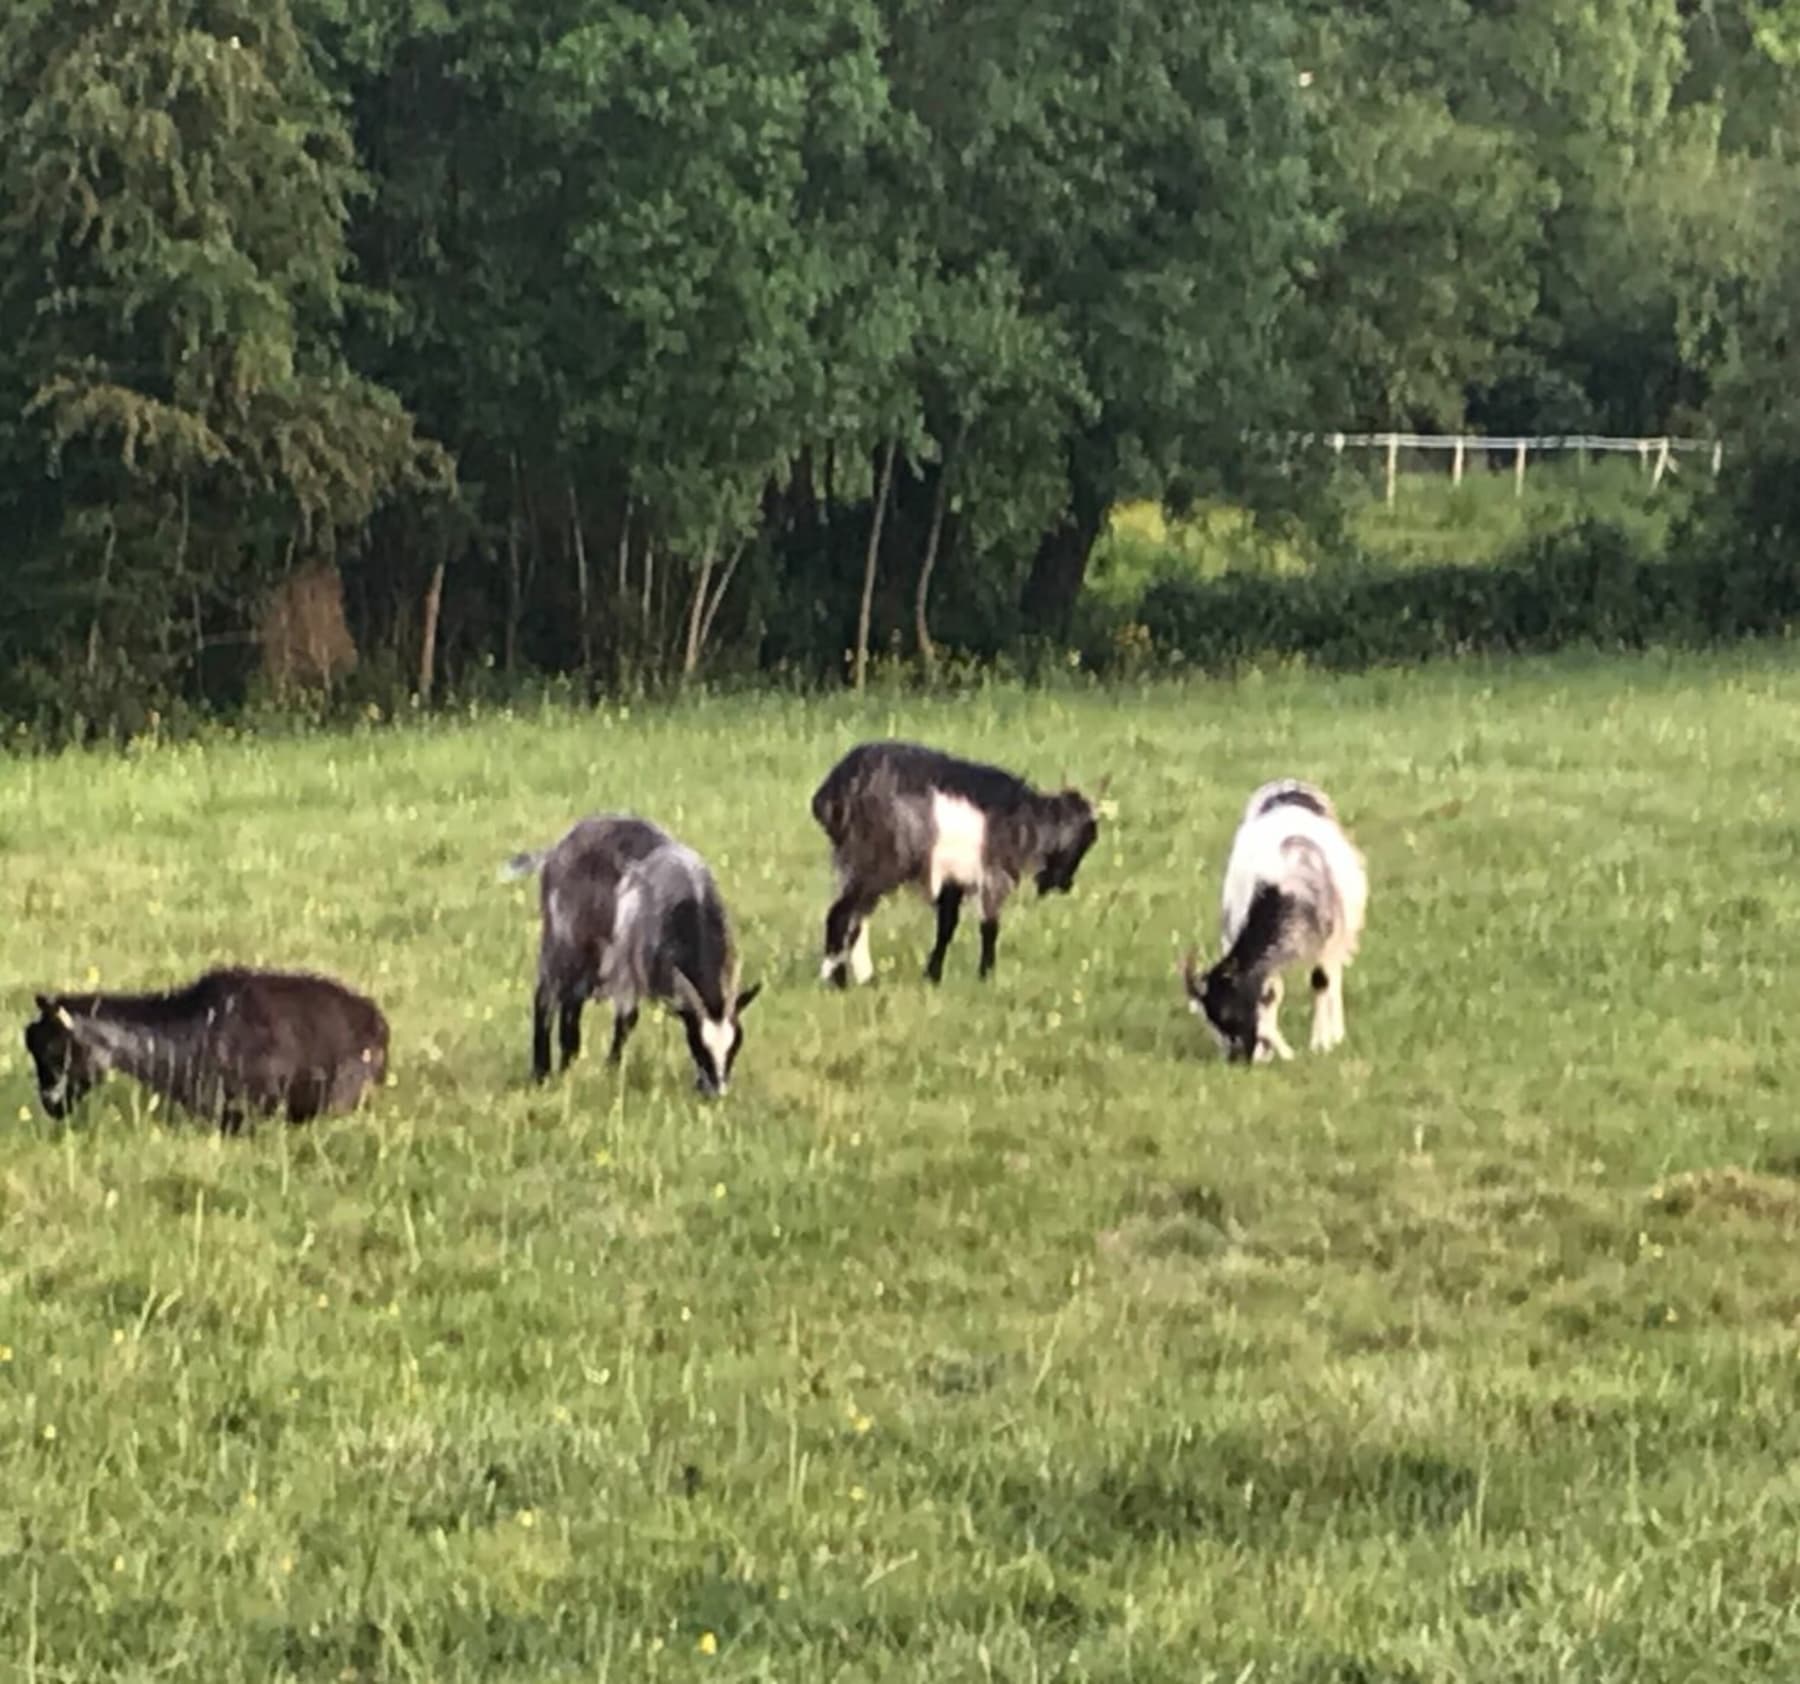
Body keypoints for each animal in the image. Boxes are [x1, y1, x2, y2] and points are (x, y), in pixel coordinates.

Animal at [504, 813, 763, 1101]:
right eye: (698, 1044)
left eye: (736, 1044)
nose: (717, 1092)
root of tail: (556, 850)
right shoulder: (626, 970)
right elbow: (627, 1021)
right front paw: (611, 1071)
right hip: (562, 941)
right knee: (546, 998)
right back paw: (542, 1073)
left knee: (571, 1003)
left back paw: (567, 1064)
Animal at [813, 741, 1094, 985]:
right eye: (1082, 843)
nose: (1065, 884)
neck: (1026, 817)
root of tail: (835, 790)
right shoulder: (992, 874)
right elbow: (989, 926)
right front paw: (986, 976)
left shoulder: (953, 878)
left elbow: (947, 926)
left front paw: (933, 976)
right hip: (879, 862)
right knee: (841, 914)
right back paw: (837, 981)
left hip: (854, 862)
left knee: (856, 919)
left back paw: (864, 979)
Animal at [1180, 780, 1360, 1065]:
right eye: (1210, 1020)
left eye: (1230, 1012)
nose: (1237, 1058)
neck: (1281, 888)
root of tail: (1289, 784)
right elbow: (1270, 993)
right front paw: (1274, 1052)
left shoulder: (1329, 940)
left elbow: (1321, 981)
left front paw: (1320, 1044)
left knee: (1334, 977)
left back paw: (1336, 1034)